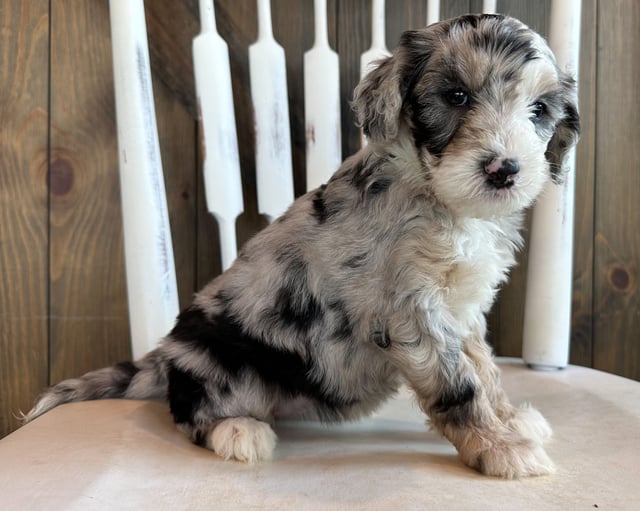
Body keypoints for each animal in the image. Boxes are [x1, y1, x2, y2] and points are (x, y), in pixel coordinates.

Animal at [27, 16, 580, 480]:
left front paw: (510, 420)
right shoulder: (409, 312)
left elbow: (483, 368)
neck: (440, 198)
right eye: (457, 96)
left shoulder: (462, 310)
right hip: (223, 360)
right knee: (190, 410)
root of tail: (162, 360)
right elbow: (458, 384)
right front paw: (500, 448)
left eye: (539, 110)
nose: (505, 170)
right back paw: (238, 432)